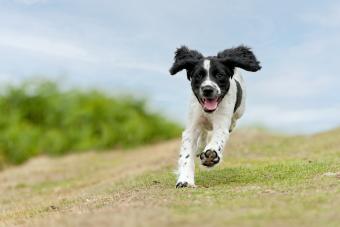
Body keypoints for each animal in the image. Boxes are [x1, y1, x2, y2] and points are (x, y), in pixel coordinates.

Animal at [169, 45, 262, 187]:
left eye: (219, 75)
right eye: (198, 76)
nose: (207, 89)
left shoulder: (222, 125)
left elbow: (218, 139)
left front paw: (211, 155)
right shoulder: (191, 127)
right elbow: (186, 155)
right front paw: (185, 180)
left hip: (240, 110)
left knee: (232, 122)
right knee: (203, 132)